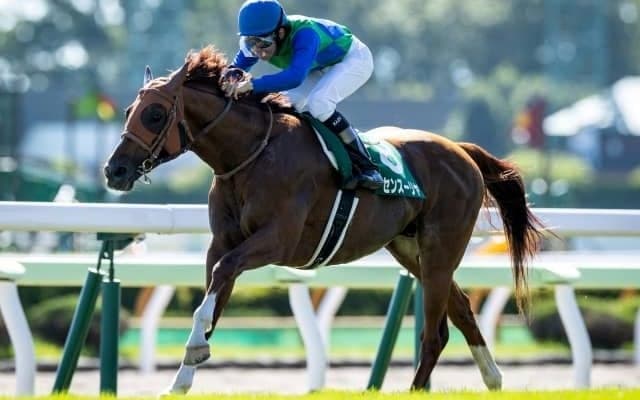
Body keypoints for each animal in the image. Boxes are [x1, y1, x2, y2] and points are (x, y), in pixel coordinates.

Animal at [104, 45, 543, 394]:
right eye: (128, 111)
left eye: (155, 114)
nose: (114, 170)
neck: (250, 155)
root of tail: (461, 150)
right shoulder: (222, 243)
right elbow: (213, 299)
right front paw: (180, 380)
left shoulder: (276, 241)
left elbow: (223, 276)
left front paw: (194, 351)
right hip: (411, 250)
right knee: (463, 310)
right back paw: (493, 379)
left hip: (440, 249)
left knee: (435, 334)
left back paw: (420, 389)